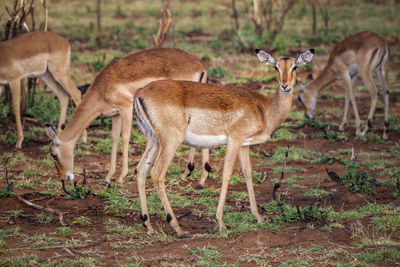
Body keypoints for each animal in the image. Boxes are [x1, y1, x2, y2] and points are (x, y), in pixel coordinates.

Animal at [45, 47, 211, 184]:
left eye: (54, 155)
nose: (64, 178)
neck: (103, 87)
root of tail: (200, 66)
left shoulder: (126, 108)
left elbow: (125, 137)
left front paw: (121, 176)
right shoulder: (115, 114)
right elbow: (114, 138)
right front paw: (108, 177)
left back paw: (201, 180)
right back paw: (187, 173)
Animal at [133, 49, 314, 238]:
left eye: (294, 66)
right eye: (276, 67)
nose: (286, 86)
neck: (263, 109)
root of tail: (140, 92)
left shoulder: (244, 145)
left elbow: (248, 173)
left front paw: (258, 217)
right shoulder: (235, 140)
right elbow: (227, 174)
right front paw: (221, 223)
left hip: (154, 140)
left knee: (140, 170)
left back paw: (149, 226)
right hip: (170, 142)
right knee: (157, 174)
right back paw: (178, 228)